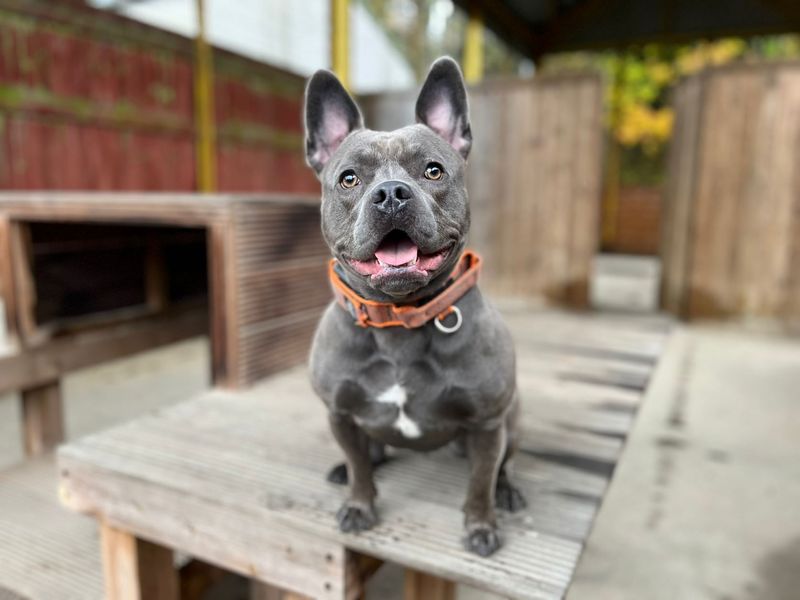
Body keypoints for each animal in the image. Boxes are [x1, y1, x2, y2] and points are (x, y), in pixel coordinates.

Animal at [304, 57, 520, 556]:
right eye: (349, 179)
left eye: (433, 171)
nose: (390, 194)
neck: (398, 319)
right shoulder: (339, 414)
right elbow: (360, 468)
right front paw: (359, 503)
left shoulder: (487, 423)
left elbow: (480, 481)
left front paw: (481, 525)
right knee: (368, 452)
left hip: (512, 417)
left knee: (502, 464)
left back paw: (508, 490)